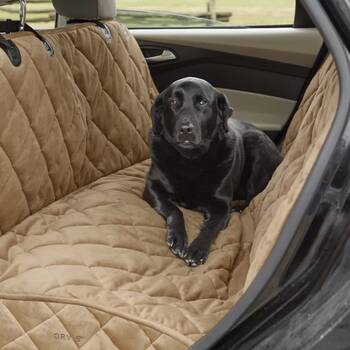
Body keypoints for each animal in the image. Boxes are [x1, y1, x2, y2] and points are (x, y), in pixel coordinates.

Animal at [144, 78, 284, 266]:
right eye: (172, 102)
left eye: (202, 102)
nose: (185, 129)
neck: (191, 160)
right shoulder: (152, 188)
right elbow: (174, 210)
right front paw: (178, 238)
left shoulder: (221, 207)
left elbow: (210, 227)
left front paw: (197, 248)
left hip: (256, 143)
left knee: (252, 197)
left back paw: (238, 207)